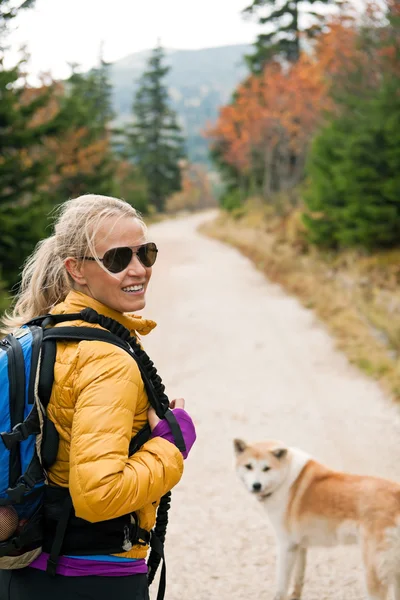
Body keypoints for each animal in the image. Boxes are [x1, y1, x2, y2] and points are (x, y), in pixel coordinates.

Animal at [233, 436, 400, 600]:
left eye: (266, 468)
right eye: (248, 466)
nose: (256, 485)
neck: (285, 478)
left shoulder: (286, 545)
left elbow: (281, 587)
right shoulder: (299, 545)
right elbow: (298, 579)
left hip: (374, 574)